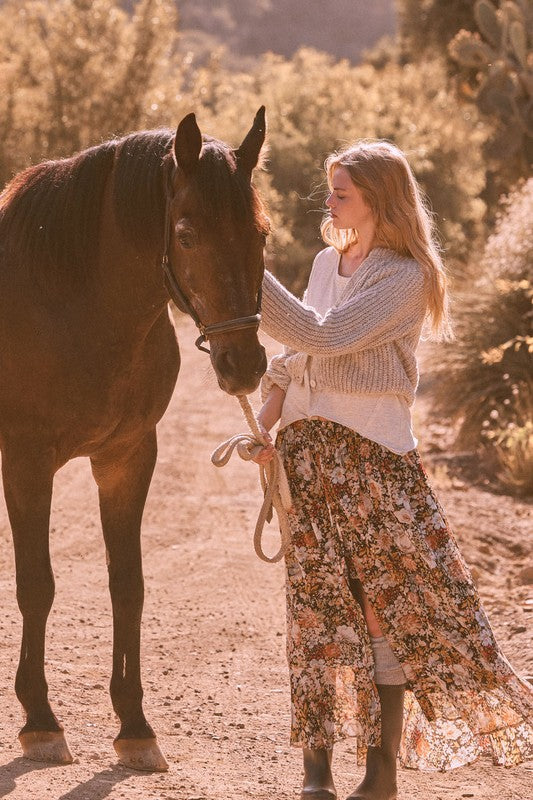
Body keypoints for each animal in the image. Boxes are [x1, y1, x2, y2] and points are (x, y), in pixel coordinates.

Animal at [0, 106, 268, 768]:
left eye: (263, 234)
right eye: (187, 235)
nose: (244, 365)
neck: (71, 303)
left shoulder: (127, 459)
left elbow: (129, 587)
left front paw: (135, 727)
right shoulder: (26, 462)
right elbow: (37, 584)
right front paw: (41, 720)